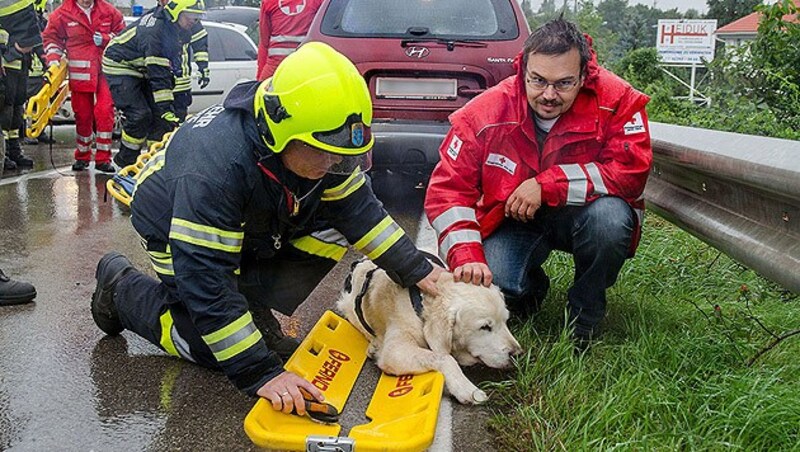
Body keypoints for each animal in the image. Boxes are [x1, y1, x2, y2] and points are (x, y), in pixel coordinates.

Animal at [334, 260, 520, 404]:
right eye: (485, 327)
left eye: (505, 321)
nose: (517, 354)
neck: (422, 303)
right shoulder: (395, 350)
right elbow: (445, 358)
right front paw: (466, 388)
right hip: (349, 306)